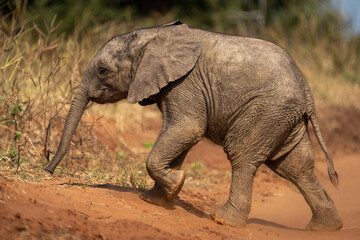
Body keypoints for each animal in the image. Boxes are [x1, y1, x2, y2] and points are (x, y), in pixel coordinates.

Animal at [45, 20, 344, 231]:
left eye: (103, 71)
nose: (47, 170)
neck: (153, 35)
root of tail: (306, 89)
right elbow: (177, 136)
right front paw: (155, 199)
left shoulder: (185, 83)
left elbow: (186, 128)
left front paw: (176, 184)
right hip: (283, 117)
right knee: (294, 166)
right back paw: (325, 227)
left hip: (267, 110)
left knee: (243, 156)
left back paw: (223, 220)